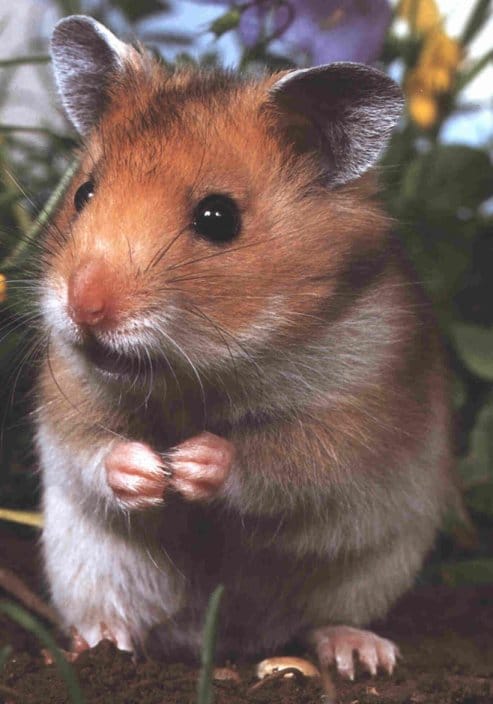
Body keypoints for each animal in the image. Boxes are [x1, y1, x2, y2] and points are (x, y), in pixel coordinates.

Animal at [36, 14, 453, 678]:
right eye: (84, 194)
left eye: (217, 217)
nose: (84, 307)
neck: (198, 374)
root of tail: (224, 639)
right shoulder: (67, 396)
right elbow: (92, 449)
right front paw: (150, 472)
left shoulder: (358, 419)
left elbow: (283, 459)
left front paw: (188, 465)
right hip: (88, 564)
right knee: (116, 617)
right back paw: (93, 642)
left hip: (369, 570)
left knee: (323, 620)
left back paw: (361, 654)